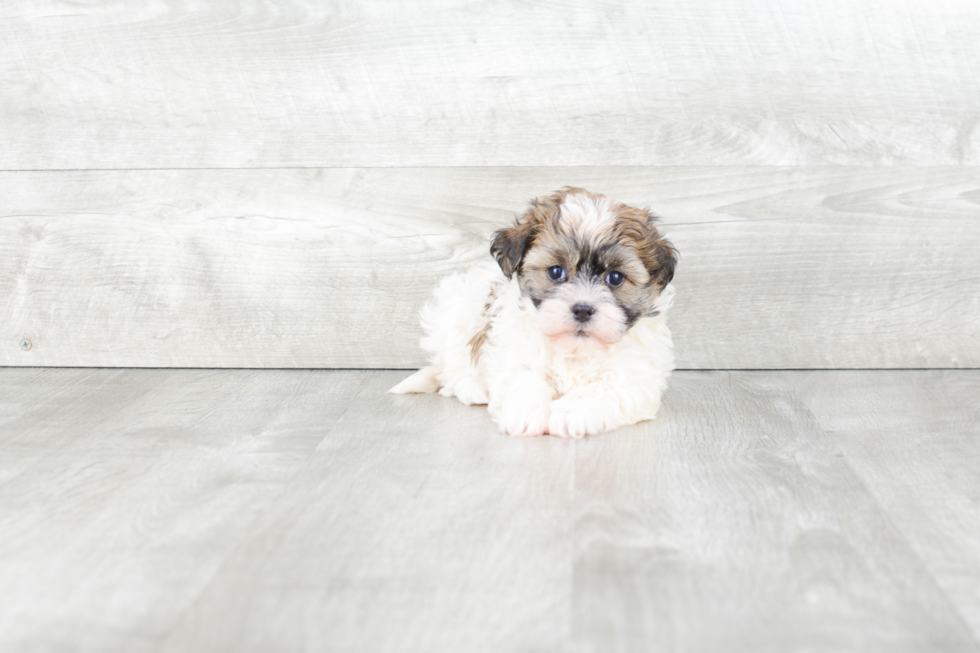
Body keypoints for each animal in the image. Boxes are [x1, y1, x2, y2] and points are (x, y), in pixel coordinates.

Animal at [388, 186, 672, 438]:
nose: (582, 309)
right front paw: (525, 412)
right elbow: (523, 379)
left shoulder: (636, 375)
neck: (574, 349)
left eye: (615, 278)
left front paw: (572, 412)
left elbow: (604, 388)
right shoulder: (512, 352)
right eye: (556, 272)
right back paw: (472, 388)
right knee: (454, 366)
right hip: (457, 311)